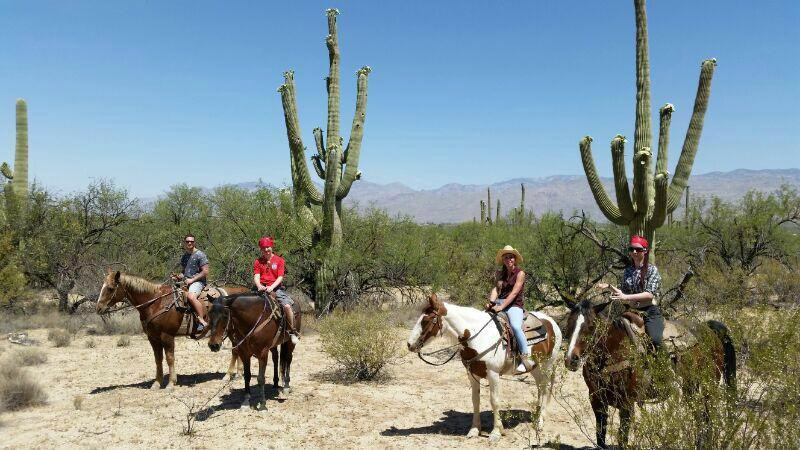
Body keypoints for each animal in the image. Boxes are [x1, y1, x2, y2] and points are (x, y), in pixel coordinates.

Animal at [96, 270, 247, 390]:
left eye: (110, 288)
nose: (98, 308)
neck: (155, 303)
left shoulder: (167, 336)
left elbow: (169, 358)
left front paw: (171, 383)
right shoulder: (153, 338)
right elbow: (158, 360)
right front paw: (157, 383)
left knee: (235, 350)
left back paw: (228, 375)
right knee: (237, 348)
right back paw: (238, 373)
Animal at [406, 294, 564, 444]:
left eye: (426, 320)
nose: (409, 344)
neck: (478, 336)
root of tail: (551, 321)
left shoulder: (493, 374)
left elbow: (494, 401)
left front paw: (496, 432)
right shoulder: (472, 374)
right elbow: (475, 401)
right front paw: (474, 430)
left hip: (547, 365)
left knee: (545, 389)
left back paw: (540, 422)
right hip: (535, 368)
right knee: (540, 388)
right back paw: (536, 416)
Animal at [560, 298, 736, 450]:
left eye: (591, 326)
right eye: (569, 324)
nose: (571, 359)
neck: (615, 350)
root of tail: (708, 329)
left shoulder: (626, 403)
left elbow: (622, 438)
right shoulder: (596, 400)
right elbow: (600, 436)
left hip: (708, 385)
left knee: (707, 415)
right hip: (690, 388)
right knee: (699, 415)